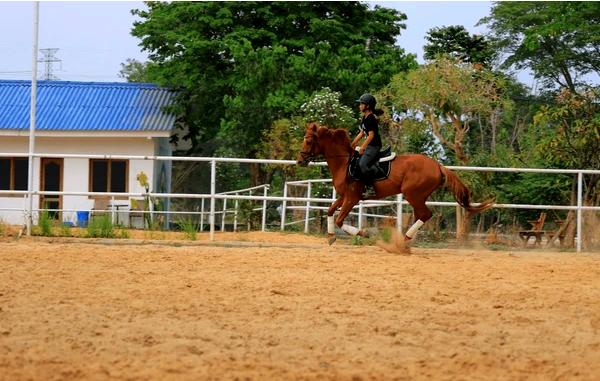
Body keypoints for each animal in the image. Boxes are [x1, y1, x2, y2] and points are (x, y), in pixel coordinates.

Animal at [294, 122, 492, 246]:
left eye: (308, 140)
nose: (299, 161)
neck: (344, 162)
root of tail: (437, 165)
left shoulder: (352, 198)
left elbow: (340, 220)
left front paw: (364, 234)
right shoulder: (344, 196)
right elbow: (329, 211)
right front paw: (330, 237)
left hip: (413, 194)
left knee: (425, 214)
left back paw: (404, 240)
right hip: (417, 196)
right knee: (421, 215)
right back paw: (407, 241)